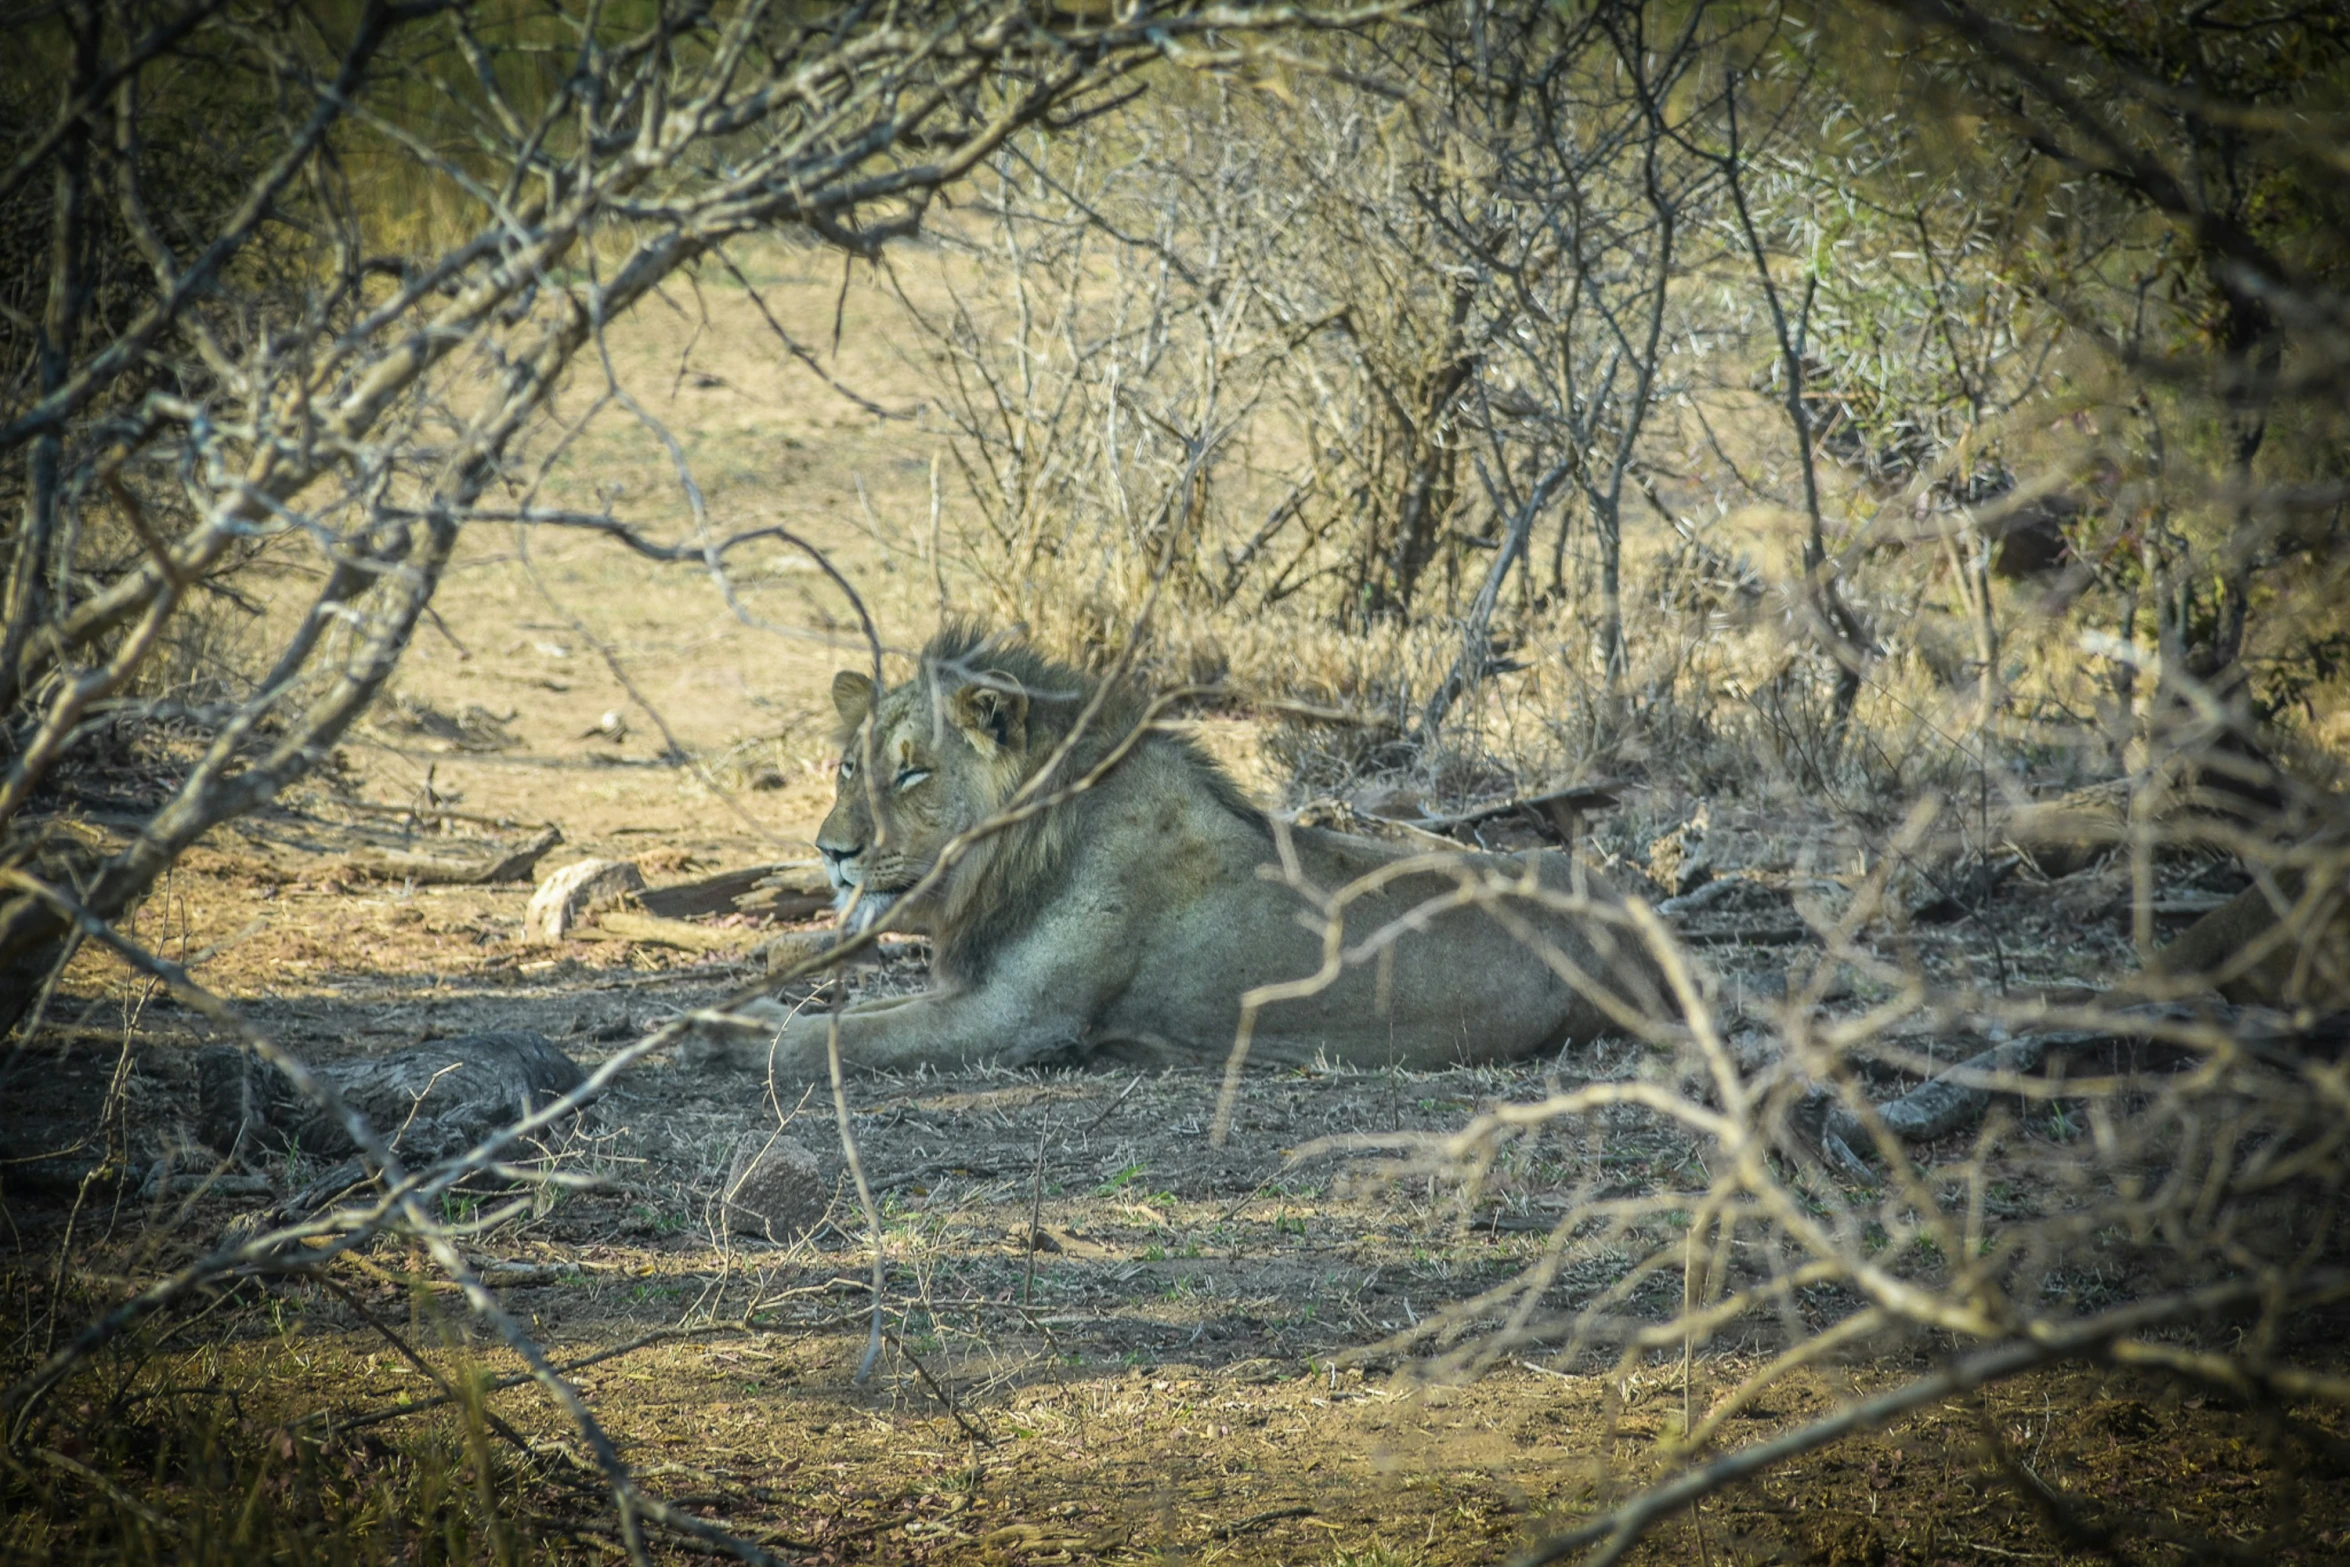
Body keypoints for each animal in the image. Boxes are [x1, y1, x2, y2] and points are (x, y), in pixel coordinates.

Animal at [695, 624, 1673, 1080]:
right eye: (848, 766)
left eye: (912, 773)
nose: (832, 851)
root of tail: (1637, 917)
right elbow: (847, 1003)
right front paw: (749, 992)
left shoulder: (1015, 1021)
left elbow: (839, 1037)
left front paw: (731, 1036)